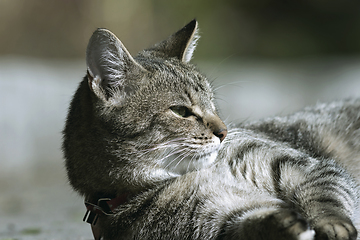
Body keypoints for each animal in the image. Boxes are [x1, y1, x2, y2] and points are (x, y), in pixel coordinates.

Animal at [63, 19, 360, 239]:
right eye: (181, 111)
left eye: (212, 103)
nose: (224, 132)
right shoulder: (214, 221)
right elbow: (248, 226)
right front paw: (279, 224)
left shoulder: (299, 165)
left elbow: (326, 194)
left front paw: (333, 226)